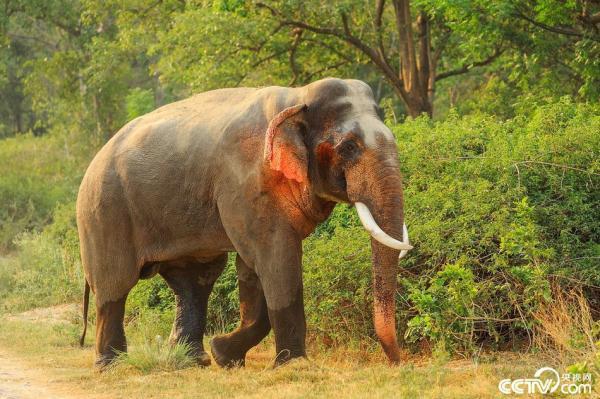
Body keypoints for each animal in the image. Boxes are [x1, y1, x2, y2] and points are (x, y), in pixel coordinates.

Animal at [76, 76, 412, 370]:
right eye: (349, 147)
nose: (397, 363)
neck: (297, 98)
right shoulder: (245, 185)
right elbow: (275, 259)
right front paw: (292, 365)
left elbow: (252, 267)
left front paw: (224, 355)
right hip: (104, 212)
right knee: (114, 285)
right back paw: (111, 366)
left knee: (195, 281)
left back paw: (193, 361)